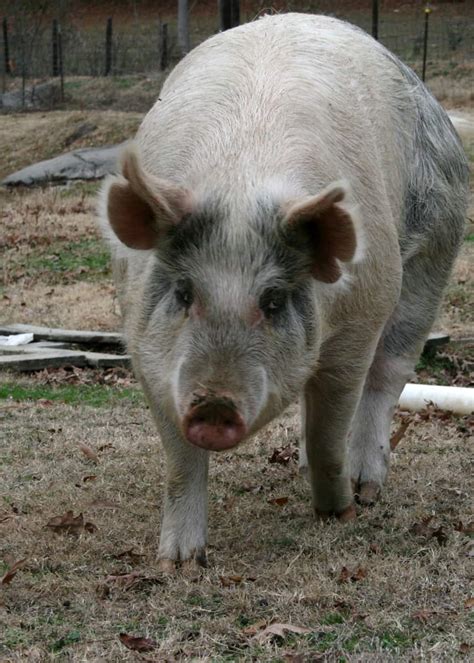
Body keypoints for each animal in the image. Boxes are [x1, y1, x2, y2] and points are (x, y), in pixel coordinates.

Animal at [98, 13, 469, 569]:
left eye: (272, 300)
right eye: (184, 293)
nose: (213, 405)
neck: (240, 185)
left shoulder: (359, 321)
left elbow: (332, 427)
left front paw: (340, 512)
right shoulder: (145, 343)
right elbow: (180, 459)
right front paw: (178, 563)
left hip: (433, 249)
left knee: (390, 373)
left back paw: (368, 488)